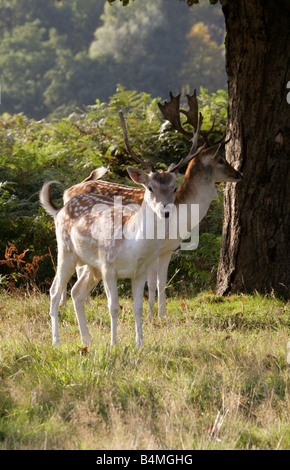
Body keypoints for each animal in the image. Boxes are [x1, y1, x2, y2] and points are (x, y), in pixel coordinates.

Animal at [62, 91, 242, 320]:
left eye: (174, 187)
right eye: (220, 159)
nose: (239, 174)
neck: (181, 217)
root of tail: (67, 192)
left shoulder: (167, 250)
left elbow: (161, 282)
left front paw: (162, 315)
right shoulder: (152, 251)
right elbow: (151, 283)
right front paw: (149, 316)